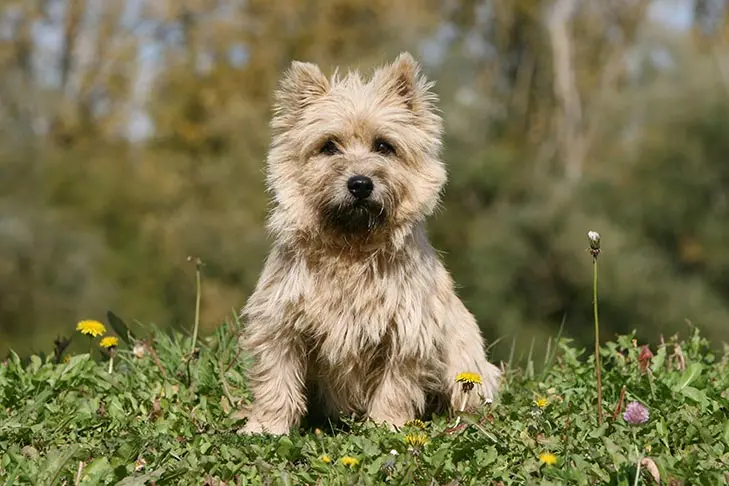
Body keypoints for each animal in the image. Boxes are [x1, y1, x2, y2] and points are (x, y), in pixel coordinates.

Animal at [239, 51, 500, 434]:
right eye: (328, 146)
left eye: (383, 146)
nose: (360, 183)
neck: (350, 248)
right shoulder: (281, 325)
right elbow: (277, 379)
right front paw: (266, 427)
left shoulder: (407, 333)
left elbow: (395, 386)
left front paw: (386, 425)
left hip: (465, 366)